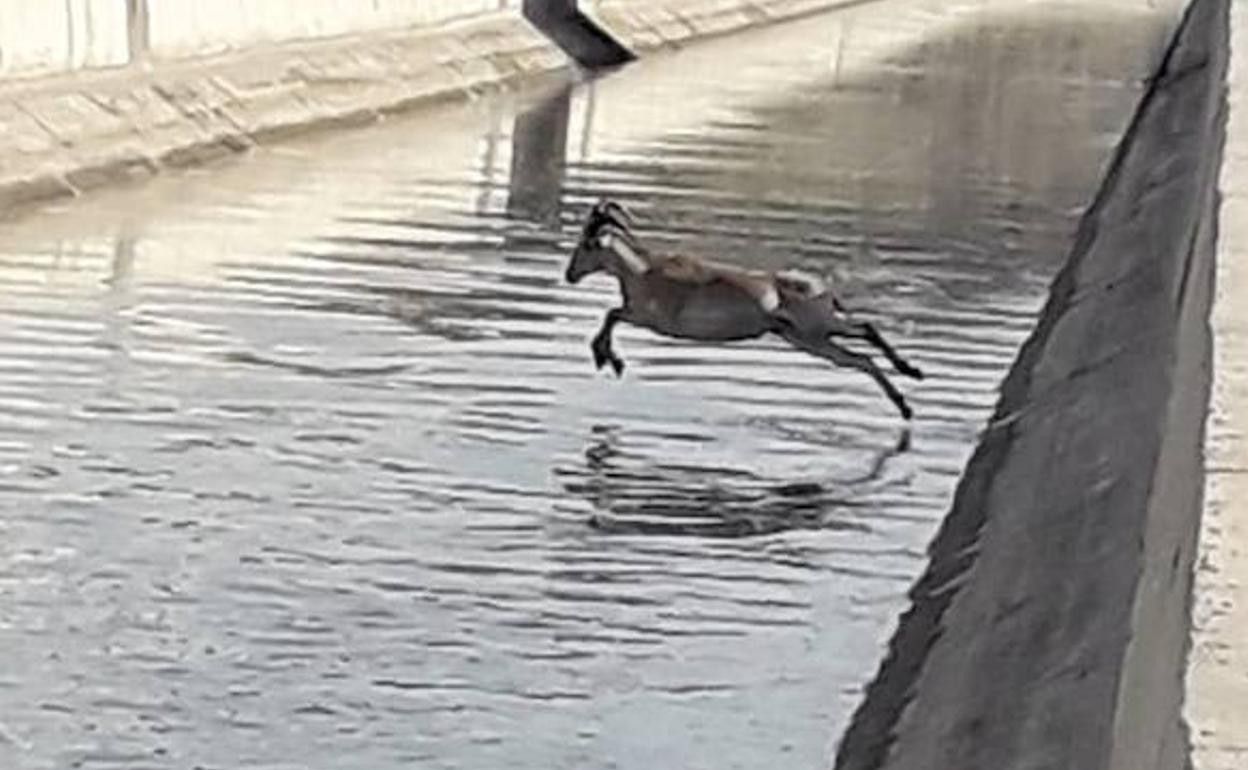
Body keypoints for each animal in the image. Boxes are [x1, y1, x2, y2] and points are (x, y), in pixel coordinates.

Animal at [561, 198, 923, 414]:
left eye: (586, 244)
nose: (570, 274)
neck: (642, 270)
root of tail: (825, 290)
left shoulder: (649, 316)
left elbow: (612, 314)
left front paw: (609, 359)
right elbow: (611, 314)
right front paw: (609, 359)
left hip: (815, 328)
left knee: (863, 339)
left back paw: (908, 385)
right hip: (809, 338)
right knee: (861, 350)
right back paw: (907, 393)